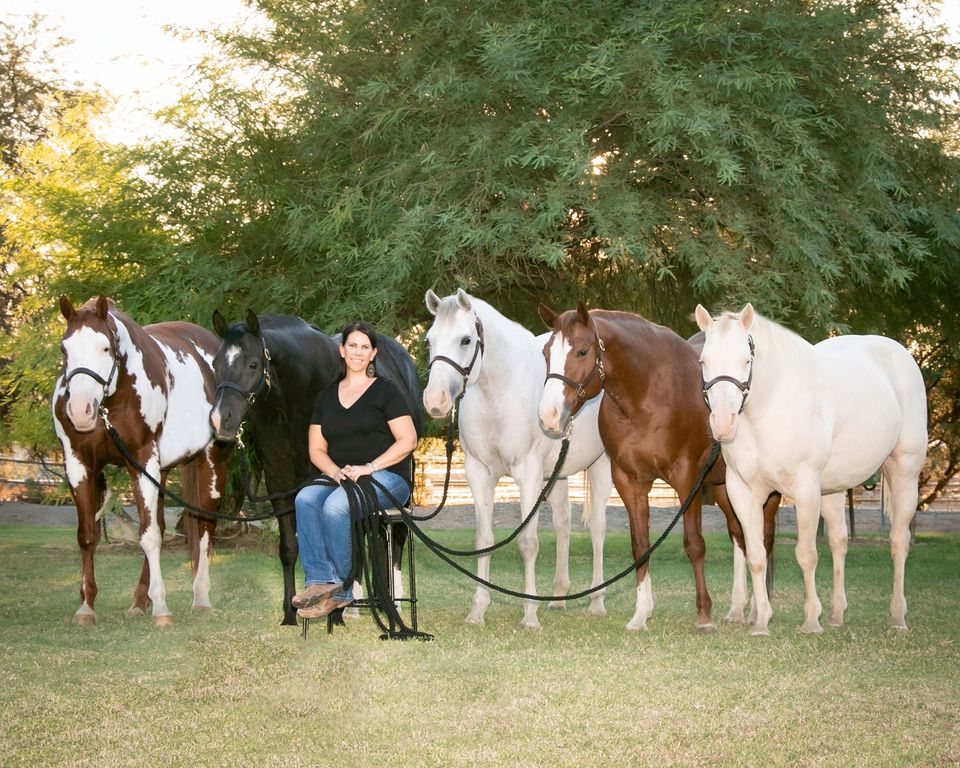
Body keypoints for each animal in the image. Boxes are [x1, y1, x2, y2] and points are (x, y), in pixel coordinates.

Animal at [52, 296, 231, 628]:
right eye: (64, 348)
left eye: (105, 348)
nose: (80, 411)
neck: (112, 399)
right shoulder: (77, 463)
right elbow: (88, 535)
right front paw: (86, 606)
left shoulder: (142, 459)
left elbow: (149, 538)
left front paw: (161, 607)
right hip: (160, 471)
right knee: (160, 523)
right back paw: (138, 601)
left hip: (211, 462)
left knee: (203, 526)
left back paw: (200, 597)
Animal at [210, 308, 424, 628]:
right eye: (215, 363)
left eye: (252, 364)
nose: (221, 420)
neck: (294, 397)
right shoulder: (279, 483)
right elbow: (289, 548)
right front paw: (291, 613)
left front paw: (333, 614)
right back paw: (355, 604)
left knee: (396, 537)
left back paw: (392, 603)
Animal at [422, 292, 616, 628]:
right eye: (429, 340)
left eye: (465, 339)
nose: (435, 401)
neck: (500, 393)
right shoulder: (478, 473)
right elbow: (483, 540)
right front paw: (478, 611)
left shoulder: (528, 474)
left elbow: (528, 543)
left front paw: (529, 615)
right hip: (558, 475)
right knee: (563, 522)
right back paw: (558, 598)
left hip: (600, 465)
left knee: (598, 528)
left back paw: (596, 603)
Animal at [540, 304, 780, 632]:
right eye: (546, 352)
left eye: (581, 351)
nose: (549, 416)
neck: (648, 394)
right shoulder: (630, 482)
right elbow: (640, 546)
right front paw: (641, 614)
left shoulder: (687, 479)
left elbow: (694, 545)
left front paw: (704, 616)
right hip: (724, 489)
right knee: (740, 537)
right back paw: (737, 610)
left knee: (764, 540)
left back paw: (758, 610)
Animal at [692, 304, 928, 632]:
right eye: (704, 361)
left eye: (747, 360)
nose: (724, 424)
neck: (769, 410)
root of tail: (901, 355)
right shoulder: (743, 492)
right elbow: (756, 555)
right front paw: (761, 622)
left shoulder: (804, 489)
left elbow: (806, 554)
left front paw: (810, 621)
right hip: (833, 488)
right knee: (839, 542)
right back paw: (837, 615)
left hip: (904, 470)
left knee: (898, 541)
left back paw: (897, 617)